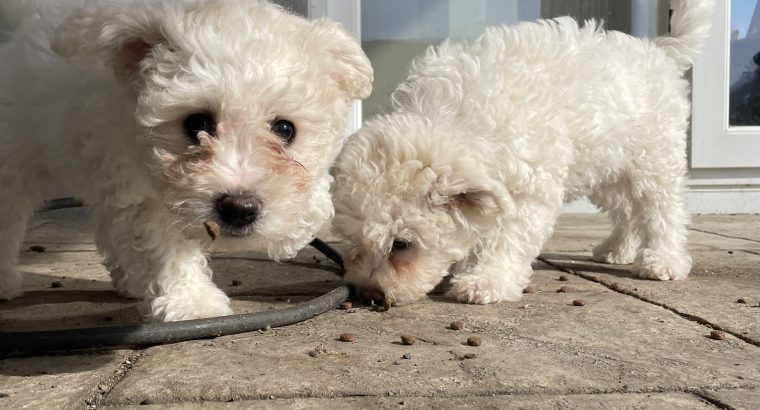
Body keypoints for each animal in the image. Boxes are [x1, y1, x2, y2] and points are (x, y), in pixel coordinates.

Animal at [0, 0, 374, 320]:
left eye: (285, 129)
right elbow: (163, 246)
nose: (239, 209)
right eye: (196, 124)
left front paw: (303, 217)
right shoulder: (138, 186)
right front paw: (192, 302)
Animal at [332, 0, 712, 304]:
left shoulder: (530, 189)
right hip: (607, 167)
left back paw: (663, 260)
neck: (458, 117)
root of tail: (660, 50)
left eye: (401, 244)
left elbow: (507, 238)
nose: (367, 294)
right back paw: (616, 249)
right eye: (353, 240)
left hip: (654, 158)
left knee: (662, 210)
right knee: (626, 209)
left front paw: (486, 280)